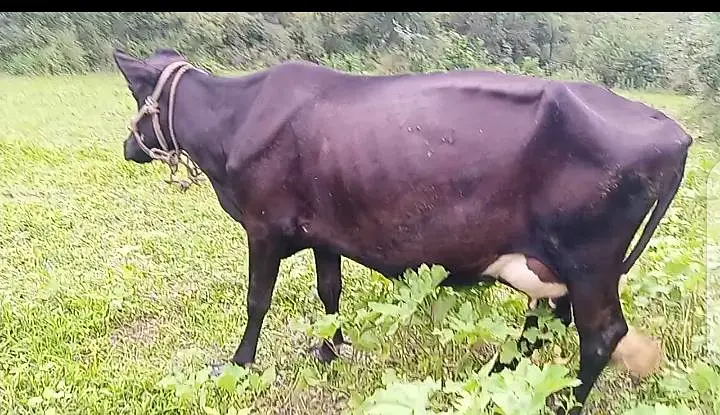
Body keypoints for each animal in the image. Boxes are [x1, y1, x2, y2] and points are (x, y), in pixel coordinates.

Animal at [112, 48, 691, 414]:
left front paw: (238, 363)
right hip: (559, 263)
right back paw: (495, 376)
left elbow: (257, 299)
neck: (234, 120)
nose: (128, 145)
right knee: (548, 321)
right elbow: (329, 289)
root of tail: (675, 132)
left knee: (600, 334)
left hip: (590, 260)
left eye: (136, 96)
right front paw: (330, 349)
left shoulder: (263, 225)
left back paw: (560, 403)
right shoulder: (323, 230)